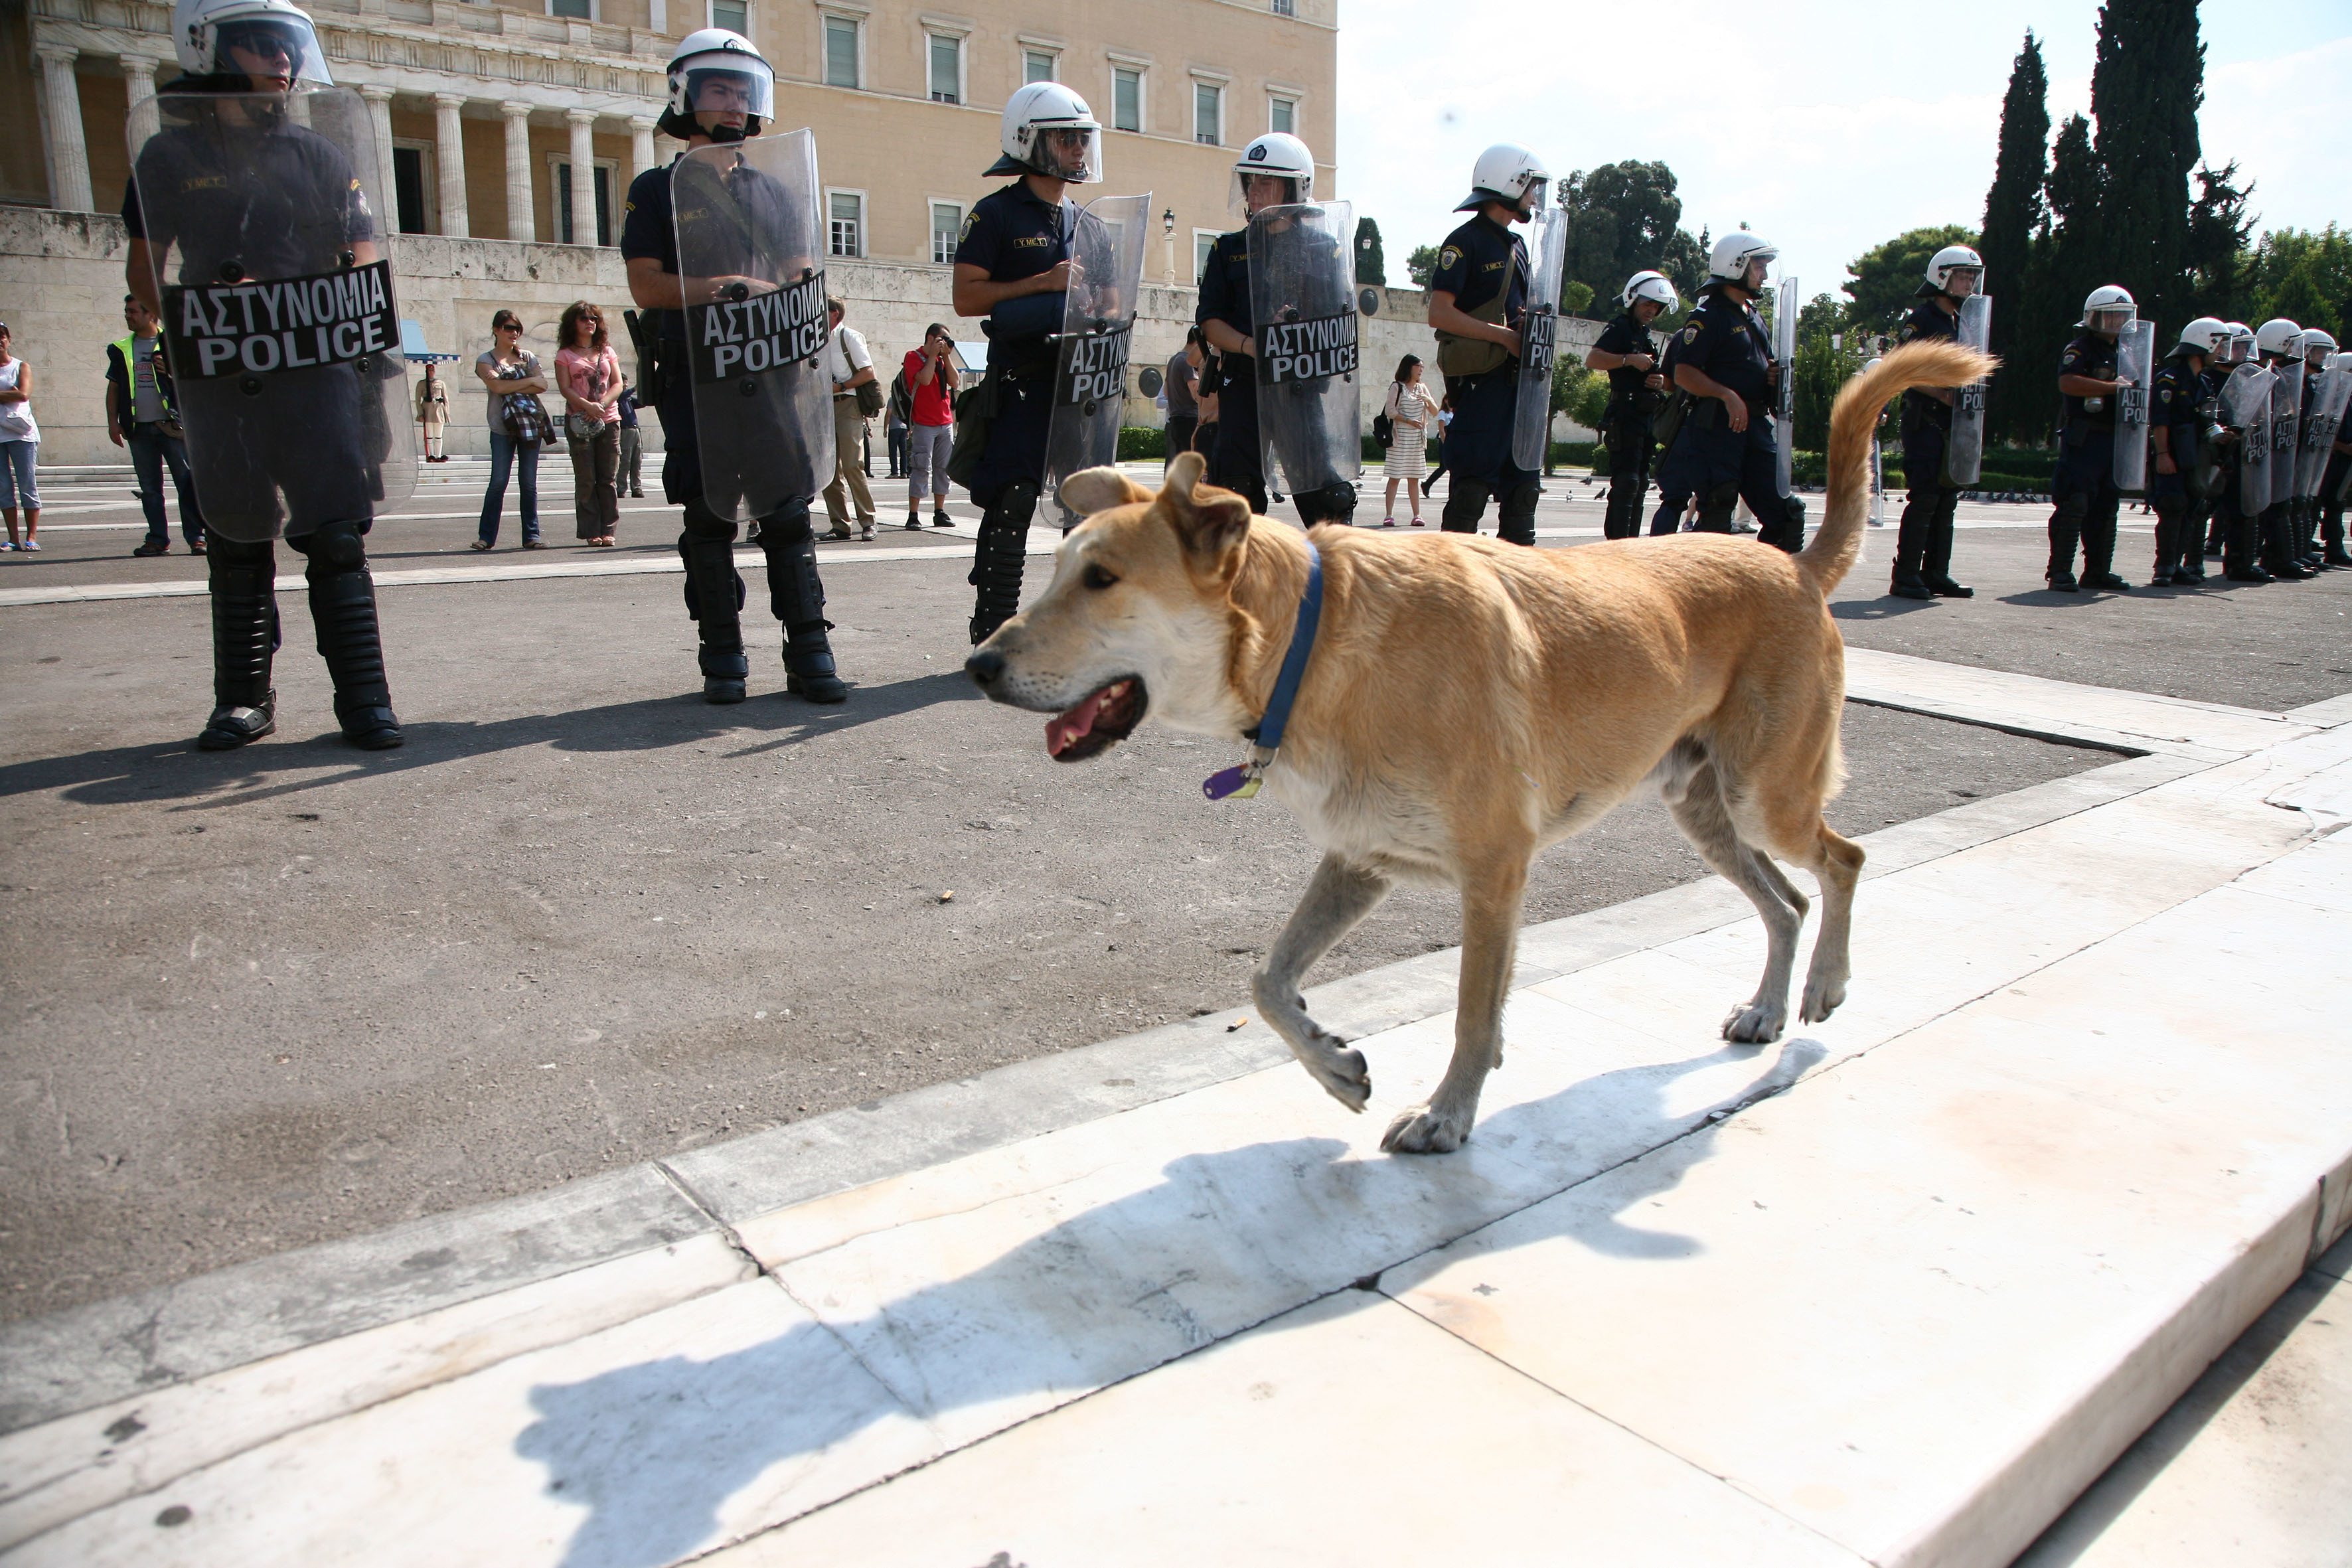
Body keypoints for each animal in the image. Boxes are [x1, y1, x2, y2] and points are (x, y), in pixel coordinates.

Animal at [964, 343, 1994, 1152]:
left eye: (1100, 579)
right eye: (1057, 569)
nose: (977, 663)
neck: (1318, 641)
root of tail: (1794, 562)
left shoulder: (1495, 868)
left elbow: (1468, 1012)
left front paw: (1447, 1115)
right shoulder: (1360, 857)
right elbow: (1267, 980)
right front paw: (1334, 1064)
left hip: (1765, 791)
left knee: (1843, 861)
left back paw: (1823, 987)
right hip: (1703, 806)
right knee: (1785, 901)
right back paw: (1769, 1007)